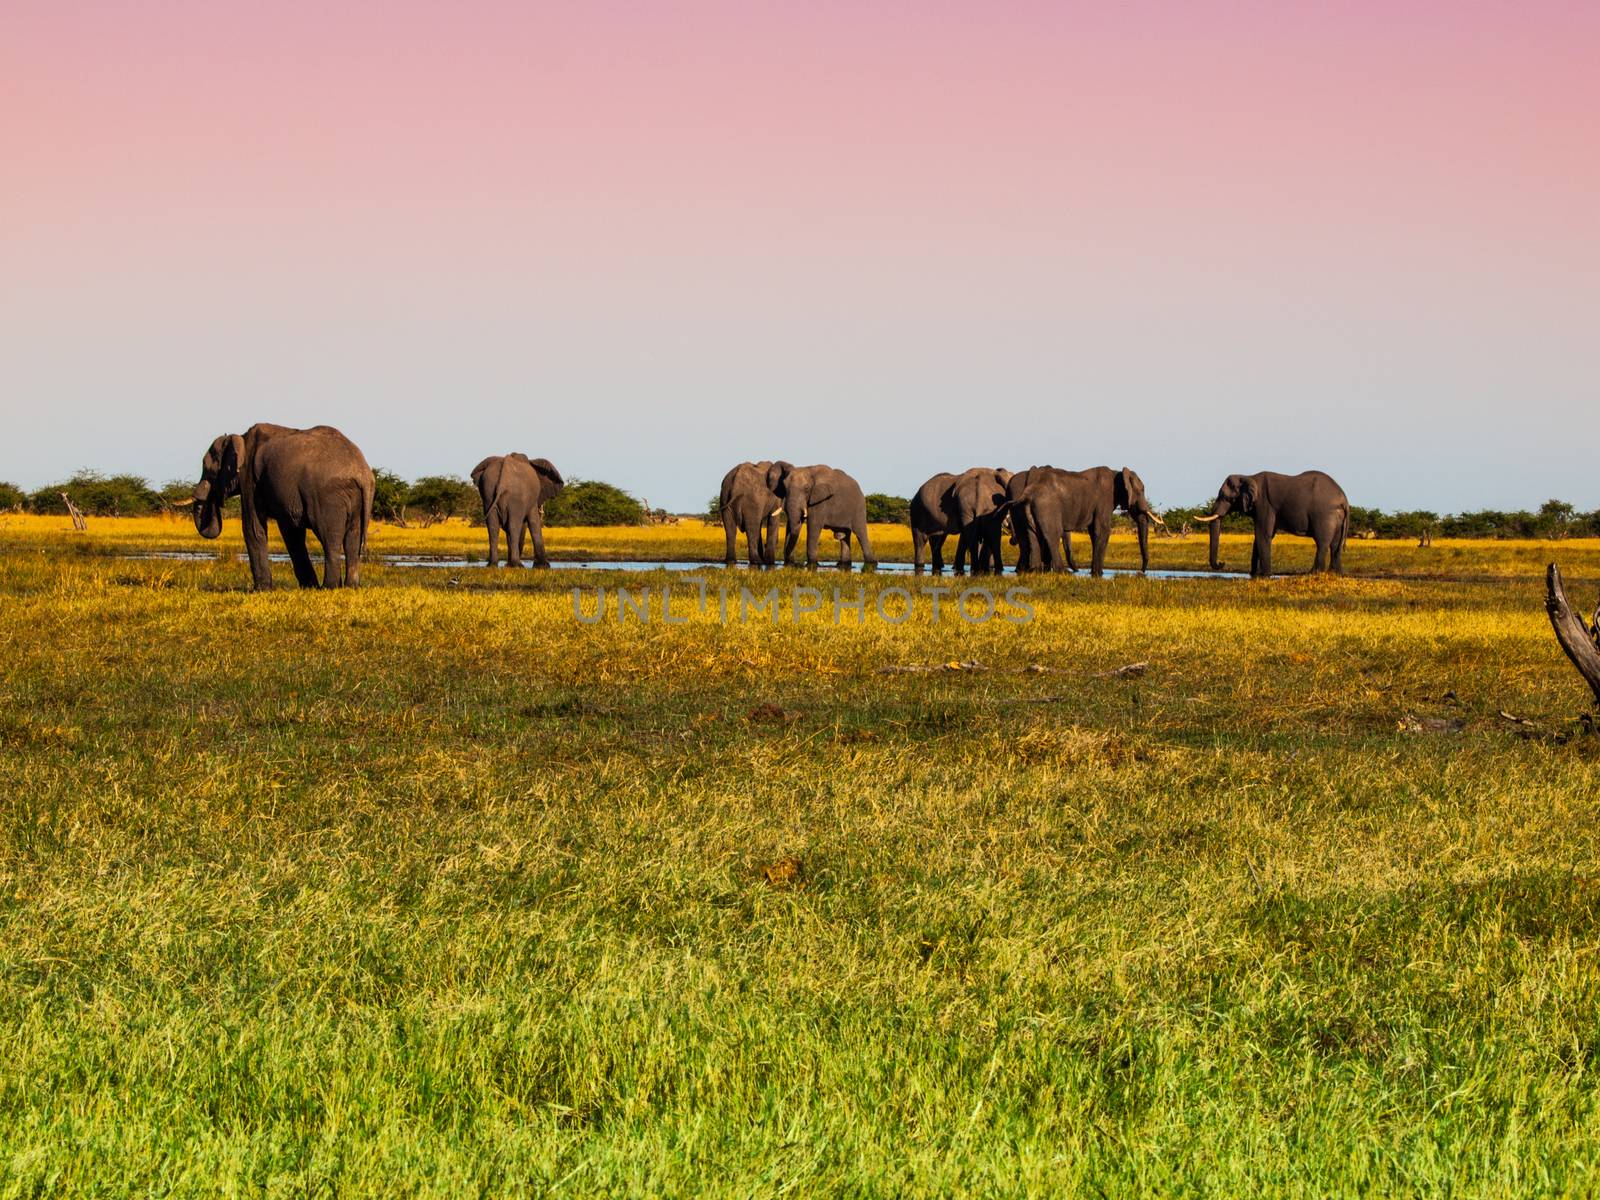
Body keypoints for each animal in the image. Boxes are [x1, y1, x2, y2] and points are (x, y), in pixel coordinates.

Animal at [192, 425, 372, 588]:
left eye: (207, 469)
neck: (240, 438)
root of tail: (362, 473)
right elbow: (292, 533)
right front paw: (308, 586)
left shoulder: (248, 478)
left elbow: (252, 528)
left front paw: (262, 589)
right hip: (355, 499)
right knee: (352, 539)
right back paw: (350, 586)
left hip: (327, 496)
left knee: (329, 538)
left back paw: (330, 587)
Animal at [1024, 464, 1164, 579]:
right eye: (1141, 491)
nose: (1140, 572)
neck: (1117, 473)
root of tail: (1029, 495)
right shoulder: (1105, 498)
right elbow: (1103, 530)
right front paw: (1098, 574)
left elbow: (1093, 532)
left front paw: (1094, 573)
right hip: (1048, 507)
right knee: (1053, 535)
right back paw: (1063, 572)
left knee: (1033, 535)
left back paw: (1035, 571)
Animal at [1196, 473, 1344, 579]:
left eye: (1226, 498)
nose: (1222, 563)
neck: (1248, 477)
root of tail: (1344, 499)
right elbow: (1260, 536)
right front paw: (1254, 575)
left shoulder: (1265, 504)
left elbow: (1263, 534)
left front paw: (1265, 575)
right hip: (1336, 517)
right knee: (1335, 545)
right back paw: (1334, 573)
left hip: (1324, 514)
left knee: (1322, 543)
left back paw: (1312, 573)